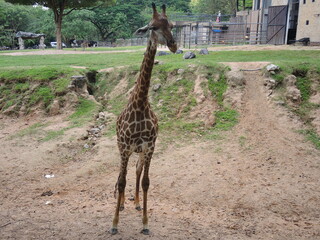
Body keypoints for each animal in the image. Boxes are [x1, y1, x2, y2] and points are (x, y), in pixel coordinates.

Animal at [111, 2, 178, 234]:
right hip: (123, 147)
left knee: (137, 171)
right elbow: (121, 180)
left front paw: (146, 223)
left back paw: (137, 203)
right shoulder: (125, 146)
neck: (140, 105)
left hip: (139, 151)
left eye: (171, 25)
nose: (174, 45)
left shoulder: (149, 146)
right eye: (152, 27)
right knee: (121, 174)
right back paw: (122, 203)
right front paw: (114, 224)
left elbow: (146, 180)